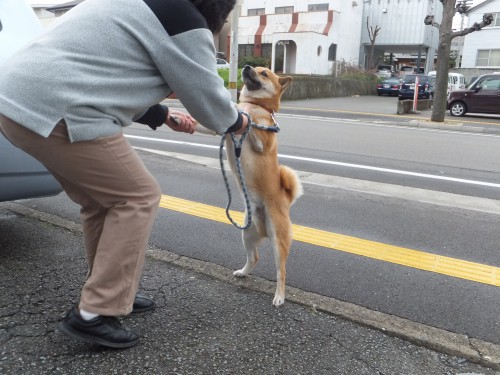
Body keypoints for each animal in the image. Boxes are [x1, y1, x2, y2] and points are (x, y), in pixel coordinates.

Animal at [196, 66, 304, 306]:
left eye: (264, 73)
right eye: (256, 69)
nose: (246, 67)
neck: (258, 105)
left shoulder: (263, 139)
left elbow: (249, 117)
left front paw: (242, 109)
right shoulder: (223, 130)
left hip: (278, 242)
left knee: (281, 273)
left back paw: (279, 296)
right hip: (247, 234)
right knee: (254, 257)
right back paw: (243, 272)